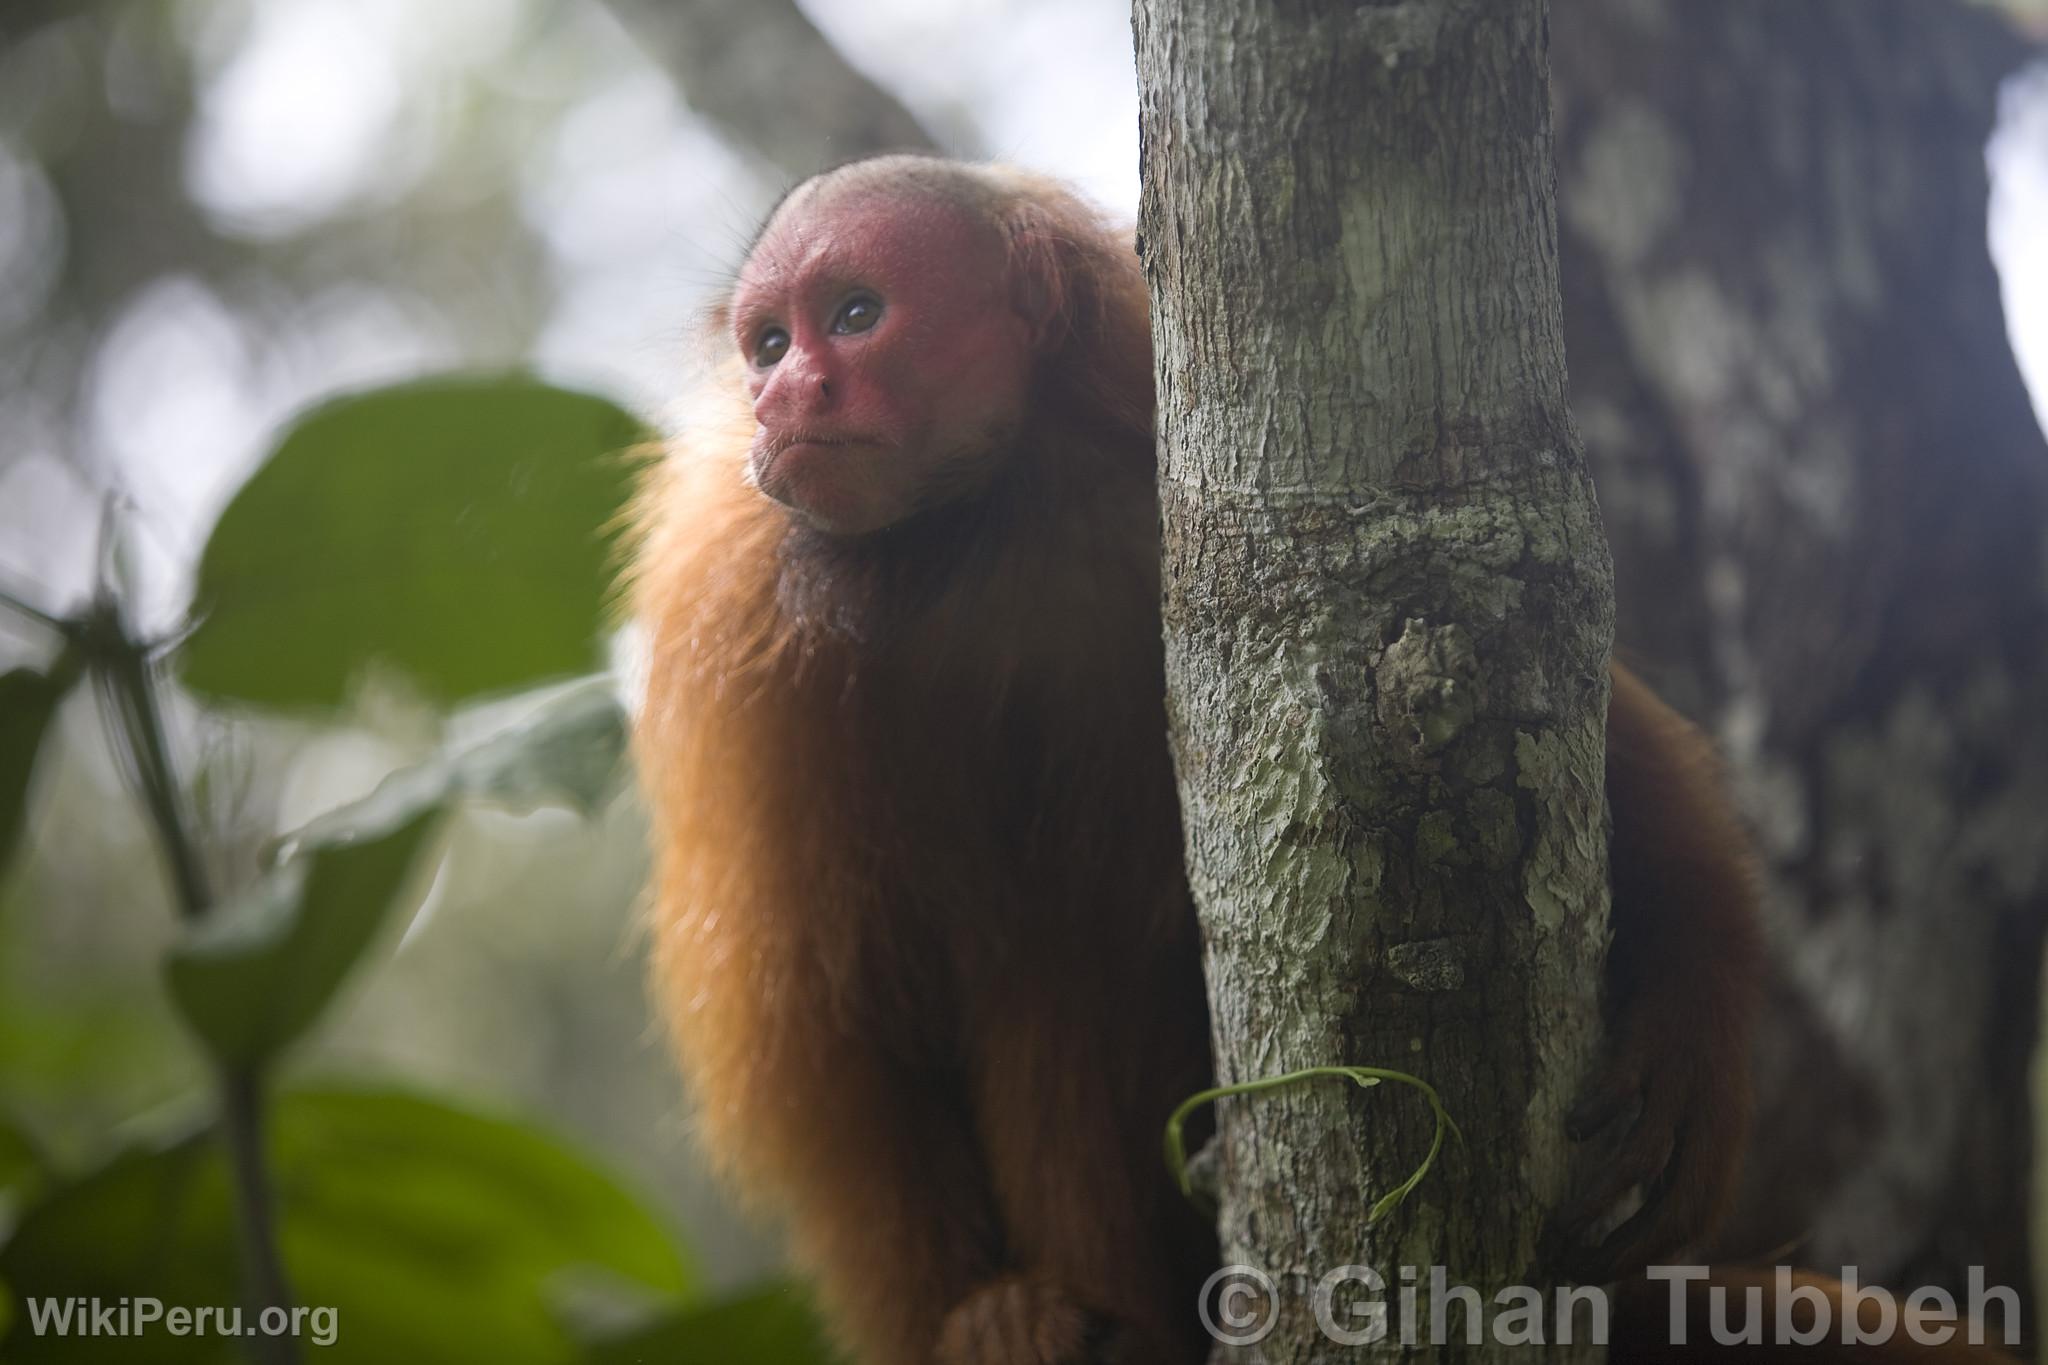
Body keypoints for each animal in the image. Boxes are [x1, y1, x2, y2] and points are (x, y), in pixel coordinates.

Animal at [626, 154, 1998, 1358]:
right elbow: (835, 1033)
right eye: (766, 344)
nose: (783, 400)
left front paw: (1692, 1044)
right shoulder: (748, 653)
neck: (992, 525)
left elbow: (1597, 743)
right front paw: (982, 1318)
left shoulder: (1171, 494)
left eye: (853, 317)